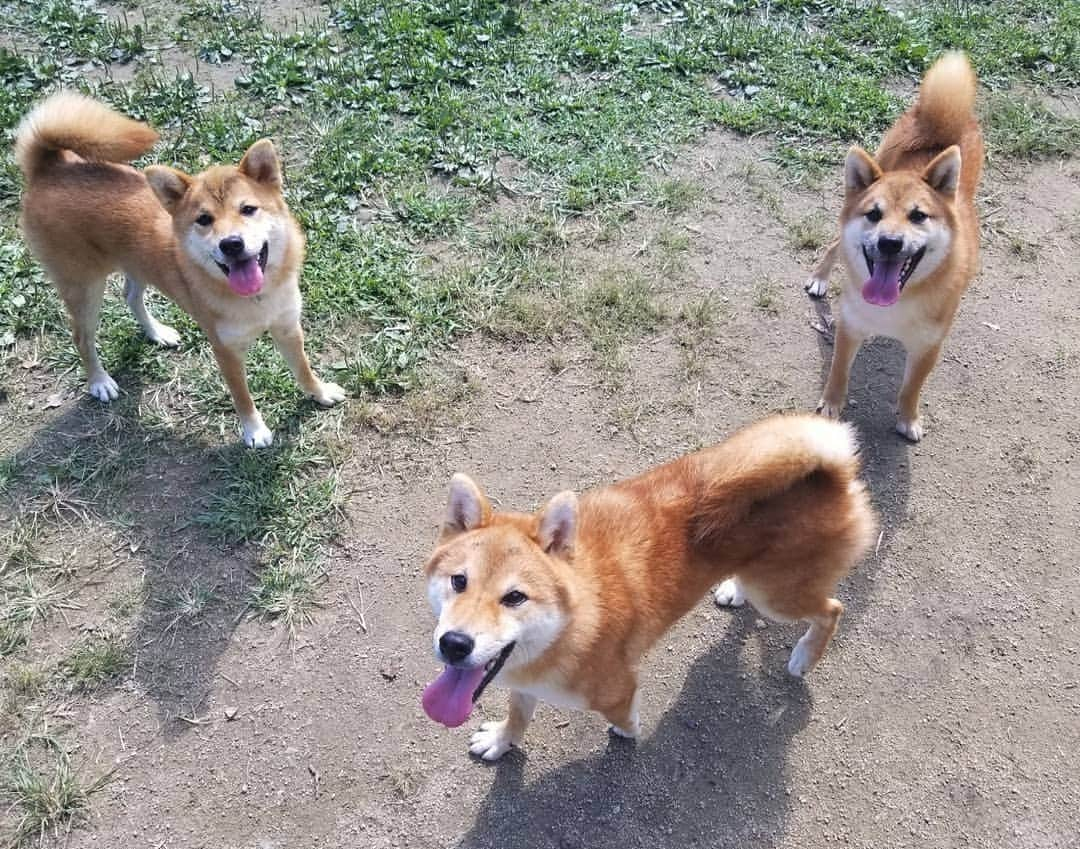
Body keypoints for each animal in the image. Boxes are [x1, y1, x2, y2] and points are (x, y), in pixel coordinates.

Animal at [16, 92, 345, 447]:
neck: (257, 300)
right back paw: (99, 381)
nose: (231, 244)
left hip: (136, 265)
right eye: (204, 219)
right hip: (83, 288)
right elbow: (242, 397)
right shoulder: (226, 350)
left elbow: (303, 369)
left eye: (248, 209)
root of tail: (50, 167)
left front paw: (319, 393)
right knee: (81, 337)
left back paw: (157, 332)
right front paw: (254, 431)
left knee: (130, 296)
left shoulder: (287, 327)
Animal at [421, 412, 876, 756]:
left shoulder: (618, 688)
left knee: (832, 609)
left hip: (778, 596)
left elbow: (623, 714)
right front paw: (503, 740)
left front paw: (627, 730)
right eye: (459, 581)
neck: (573, 623)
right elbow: (519, 713)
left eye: (515, 597)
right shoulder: (523, 682)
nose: (455, 644)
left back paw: (804, 656)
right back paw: (735, 589)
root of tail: (834, 469)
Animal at [807, 52, 984, 440]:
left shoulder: (929, 345)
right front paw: (831, 406)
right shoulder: (850, 325)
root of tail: (942, 124)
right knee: (834, 243)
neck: (895, 303)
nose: (890, 242)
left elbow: (912, 387)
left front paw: (909, 418)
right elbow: (838, 372)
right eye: (874, 214)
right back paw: (819, 278)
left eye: (918, 216)